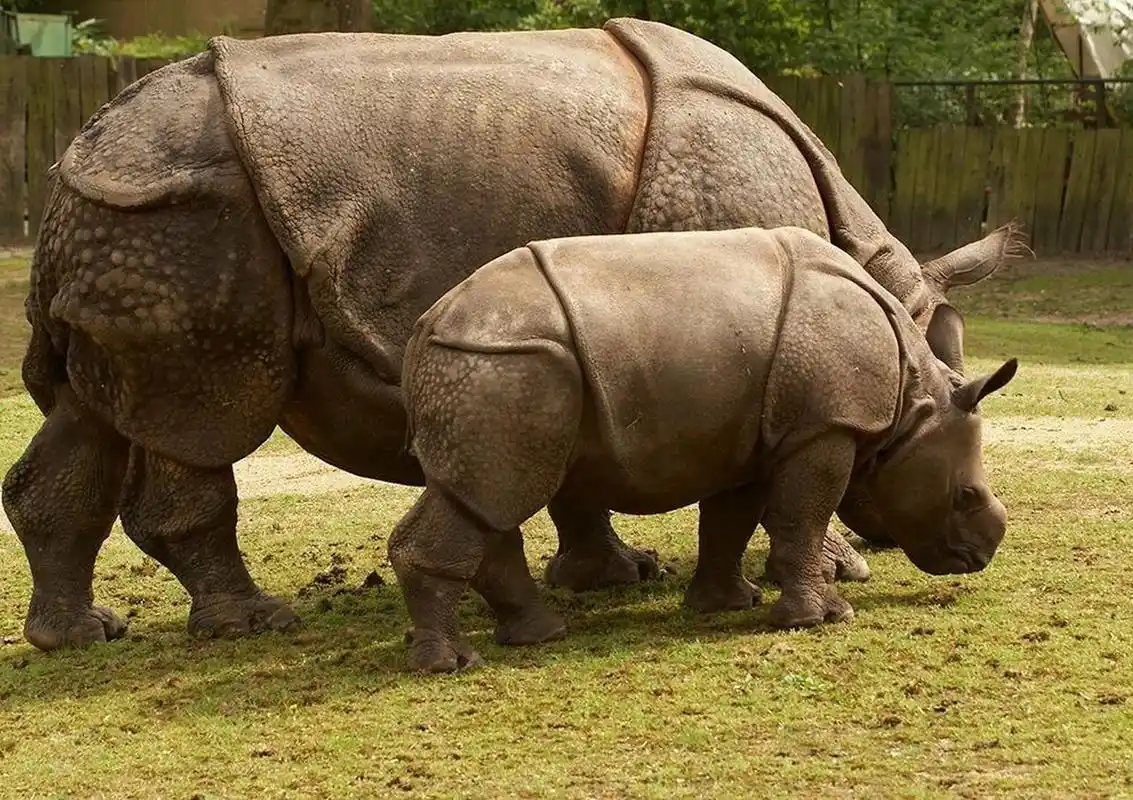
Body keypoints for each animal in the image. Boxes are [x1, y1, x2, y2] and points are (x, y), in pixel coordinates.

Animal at [390, 226, 1019, 673]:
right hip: (502, 365)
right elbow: (804, 518)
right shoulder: (824, 428)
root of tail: (424, 328)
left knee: (483, 501)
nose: (981, 556)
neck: (916, 403)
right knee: (492, 496)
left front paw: (726, 605)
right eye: (964, 496)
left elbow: (730, 520)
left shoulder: (758, 437)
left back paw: (538, 635)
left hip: (494, 370)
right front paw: (821, 618)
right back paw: (452, 664)